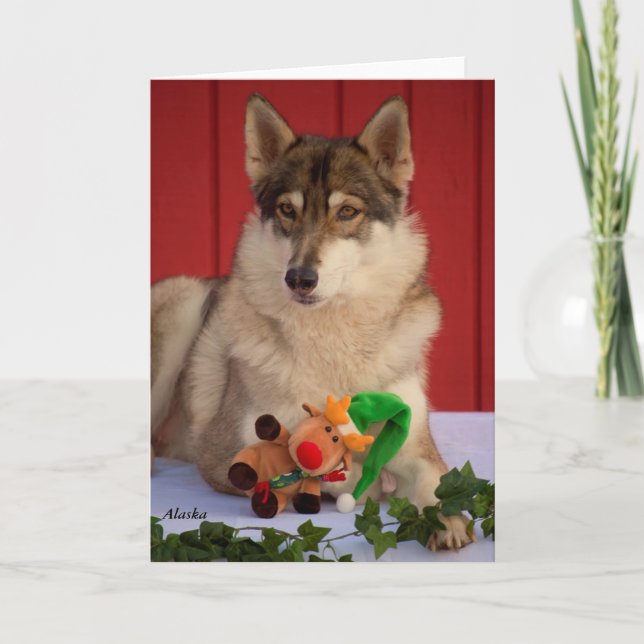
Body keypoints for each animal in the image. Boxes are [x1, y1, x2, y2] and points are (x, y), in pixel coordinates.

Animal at [151, 93, 473, 550]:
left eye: (348, 212)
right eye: (287, 209)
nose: (299, 279)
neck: (330, 333)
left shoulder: (414, 443)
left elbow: (438, 479)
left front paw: (446, 517)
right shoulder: (224, 456)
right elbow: (310, 472)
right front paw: (364, 482)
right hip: (184, 302)